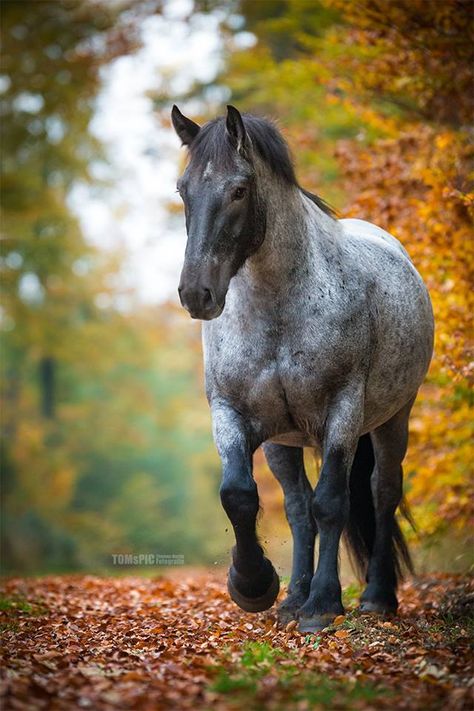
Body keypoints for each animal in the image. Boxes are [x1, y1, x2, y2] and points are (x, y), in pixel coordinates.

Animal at [170, 103, 434, 632]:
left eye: (239, 190)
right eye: (183, 190)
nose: (196, 294)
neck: (280, 308)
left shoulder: (342, 414)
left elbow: (332, 504)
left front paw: (323, 606)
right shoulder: (233, 415)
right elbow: (240, 495)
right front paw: (254, 586)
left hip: (393, 419)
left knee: (382, 492)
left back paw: (376, 597)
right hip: (284, 442)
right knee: (296, 507)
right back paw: (292, 597)